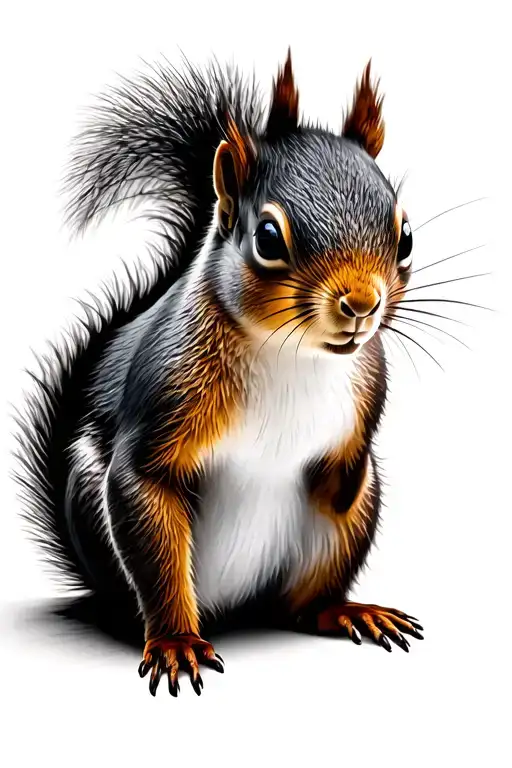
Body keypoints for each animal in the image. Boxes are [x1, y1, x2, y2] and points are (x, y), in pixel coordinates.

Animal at [14, 50, 425, 698]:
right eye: (268, 237)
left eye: (405, 234)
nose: (362, 305)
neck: (292, 352)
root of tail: (235, 608)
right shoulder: (167, 393)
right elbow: (145, 484)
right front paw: (176, 644)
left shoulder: (368, 380)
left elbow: (351, 456)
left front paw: (345, 475)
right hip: (100, 521)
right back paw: (166, 629)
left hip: (342, 537)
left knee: (302, 606)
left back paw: (343, 610)